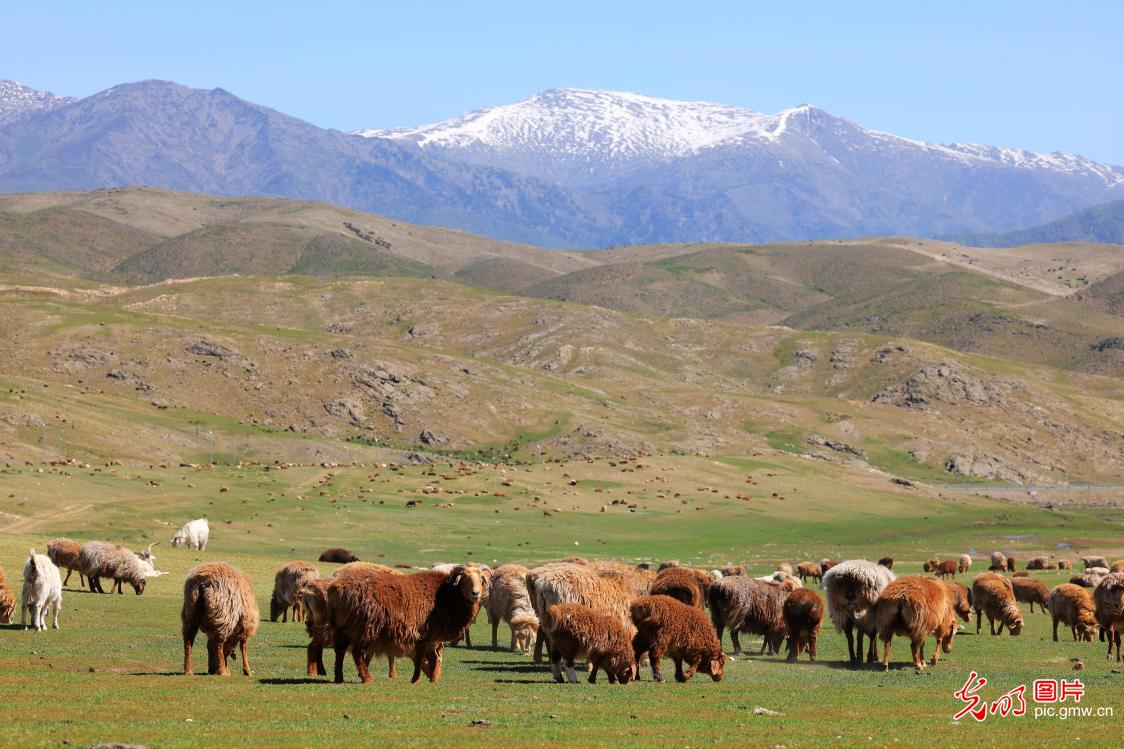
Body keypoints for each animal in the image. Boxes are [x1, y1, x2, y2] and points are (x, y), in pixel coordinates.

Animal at [327, 565, 483, 683]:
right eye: (465, 579)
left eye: (481, 579)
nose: (475, 594)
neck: (446, 596)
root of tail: (337, 588)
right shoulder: (427, 636)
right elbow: (425, 659)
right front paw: (419, 680)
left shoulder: (427, 638)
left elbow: (428, 658)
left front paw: (429, 680)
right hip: (365, 627)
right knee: (356, 652)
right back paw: (367, 679)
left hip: (342, 627)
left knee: (339, 651)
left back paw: (339, 678)